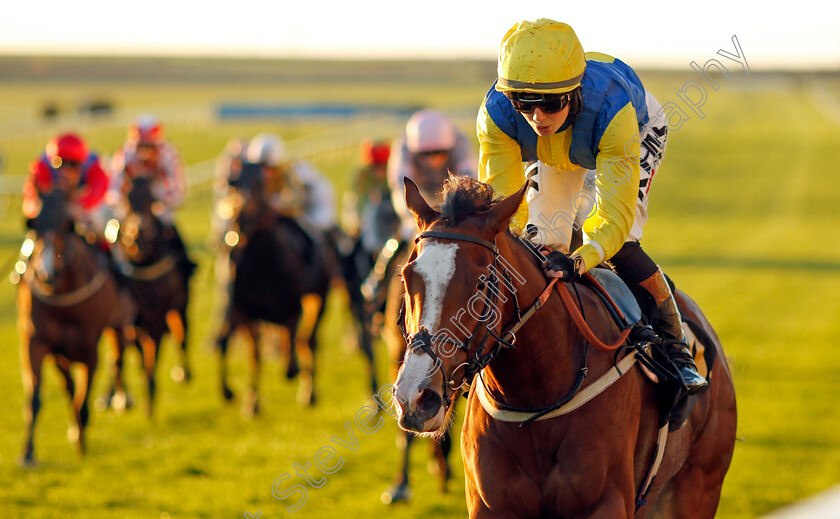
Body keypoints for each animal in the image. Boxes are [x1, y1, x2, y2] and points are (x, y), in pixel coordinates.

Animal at [394, 177, 736, 516]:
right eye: (407, 276)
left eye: (480, 282)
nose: (415, 396)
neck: (535, 399)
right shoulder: (489, 506)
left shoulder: (606, 502)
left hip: (699, 485)